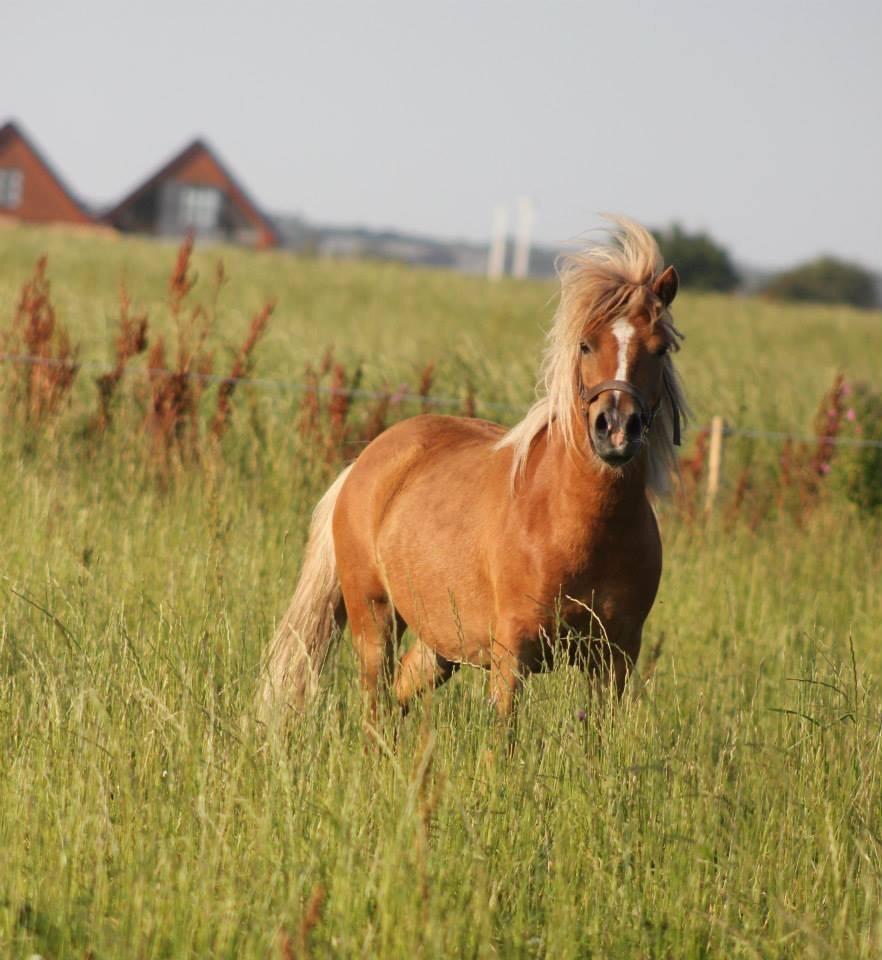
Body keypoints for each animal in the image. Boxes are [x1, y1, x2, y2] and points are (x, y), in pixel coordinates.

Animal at [262, 218, 688, 724]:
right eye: (586, 344)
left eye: (659, 349)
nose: (617, 429)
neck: (578, 523)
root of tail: (366, 461)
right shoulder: (512, 655)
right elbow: (504, 735)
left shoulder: (615, 659)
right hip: (374, 617)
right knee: (375, 705)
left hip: (440, 645)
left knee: (398, 696)